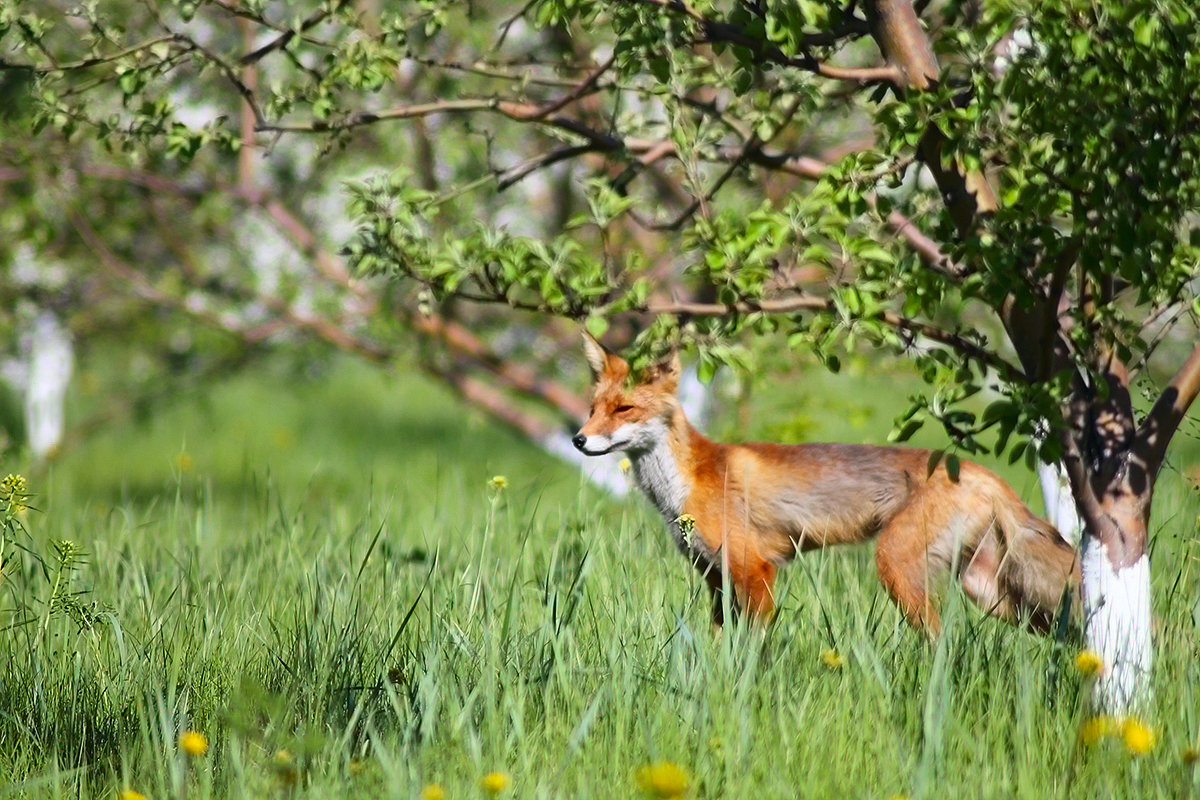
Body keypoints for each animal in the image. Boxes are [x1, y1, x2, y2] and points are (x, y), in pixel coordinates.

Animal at [568, 335, 1080, 633]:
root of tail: (980, 470)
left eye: (624, 410)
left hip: (898, 565)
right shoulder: (717, 580)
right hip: (989, 588)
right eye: (593, 408)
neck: (682, 487)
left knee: (942, 641)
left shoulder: (756, 572)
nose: (578, 439)